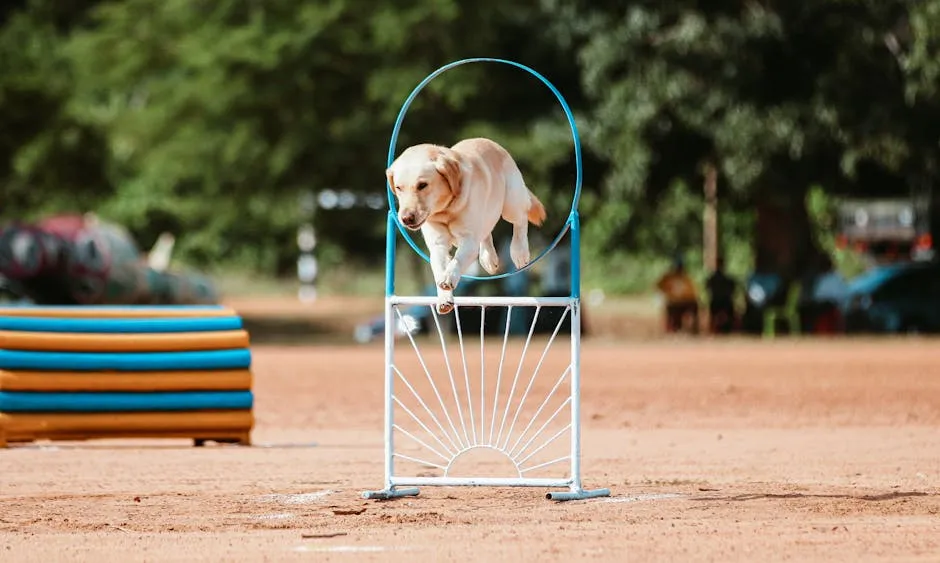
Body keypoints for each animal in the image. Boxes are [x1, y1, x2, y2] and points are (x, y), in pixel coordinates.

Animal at [388, 137, 548, 312]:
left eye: (422, 185)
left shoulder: (469, 240)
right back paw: (488, 258)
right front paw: (444, 298)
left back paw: (519, 252)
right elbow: (438, 268)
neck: (445, 210)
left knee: (521, 220)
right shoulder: (438, 244)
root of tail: (495, 145)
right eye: (398, 188)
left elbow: (457, 261)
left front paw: (449, 277)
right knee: (486, 233)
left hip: (511, 202)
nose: (406, 218)